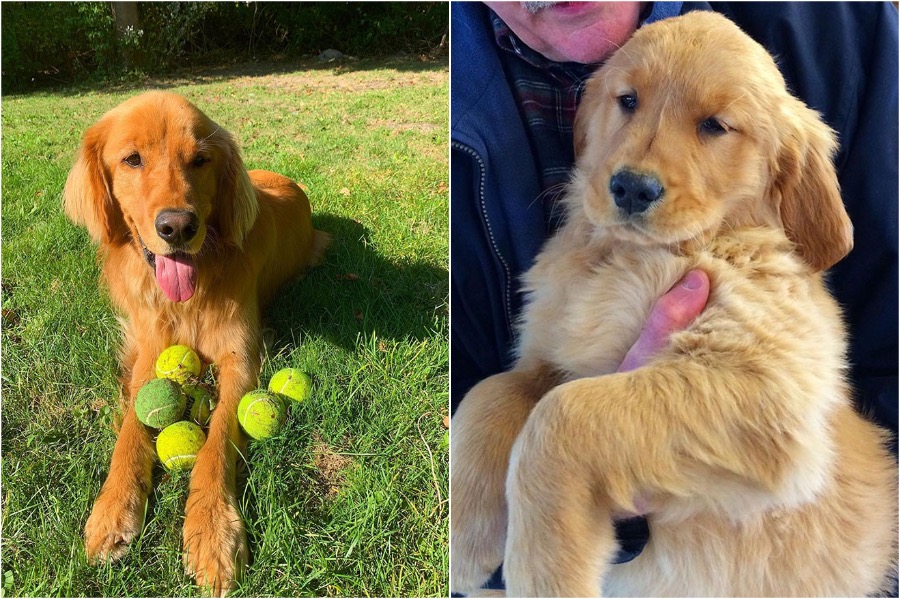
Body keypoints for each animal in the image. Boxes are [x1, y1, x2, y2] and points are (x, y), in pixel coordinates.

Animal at [64, 90, 330, 596]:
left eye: (200, 160)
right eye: (132, 159)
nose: (177, 227)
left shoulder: (240, 356)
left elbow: (219, 437)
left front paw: (212, 532)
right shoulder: (150, 350)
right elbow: (132, 427)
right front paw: (113, 509)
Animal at [454, 11, 896, 596]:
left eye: (715, 125)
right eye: (628, 100)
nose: (632, 189)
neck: (628, 257)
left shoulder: (765, 382)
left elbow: (560, 415)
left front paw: (544, 571)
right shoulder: (548, 357)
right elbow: (491, 391)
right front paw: (466, 534)